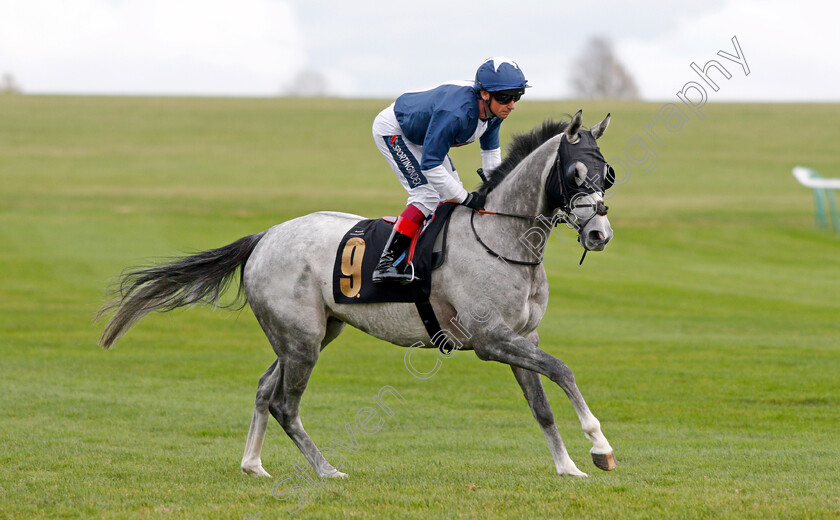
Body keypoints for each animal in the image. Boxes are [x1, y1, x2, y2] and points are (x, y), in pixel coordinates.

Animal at [101, 109, 620, 480]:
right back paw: (327, 470)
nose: (600, 234)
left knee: (266, 387)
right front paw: (600, 446)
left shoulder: (523, 338)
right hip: (303, 339)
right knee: (285, 404)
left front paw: (569, 466)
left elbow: (542, 403)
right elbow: (562, 369)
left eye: (608, 173)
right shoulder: (490, 340)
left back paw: (253, 464)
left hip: (309, 334)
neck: (501, 238)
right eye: (576, 173)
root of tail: (265, 236)